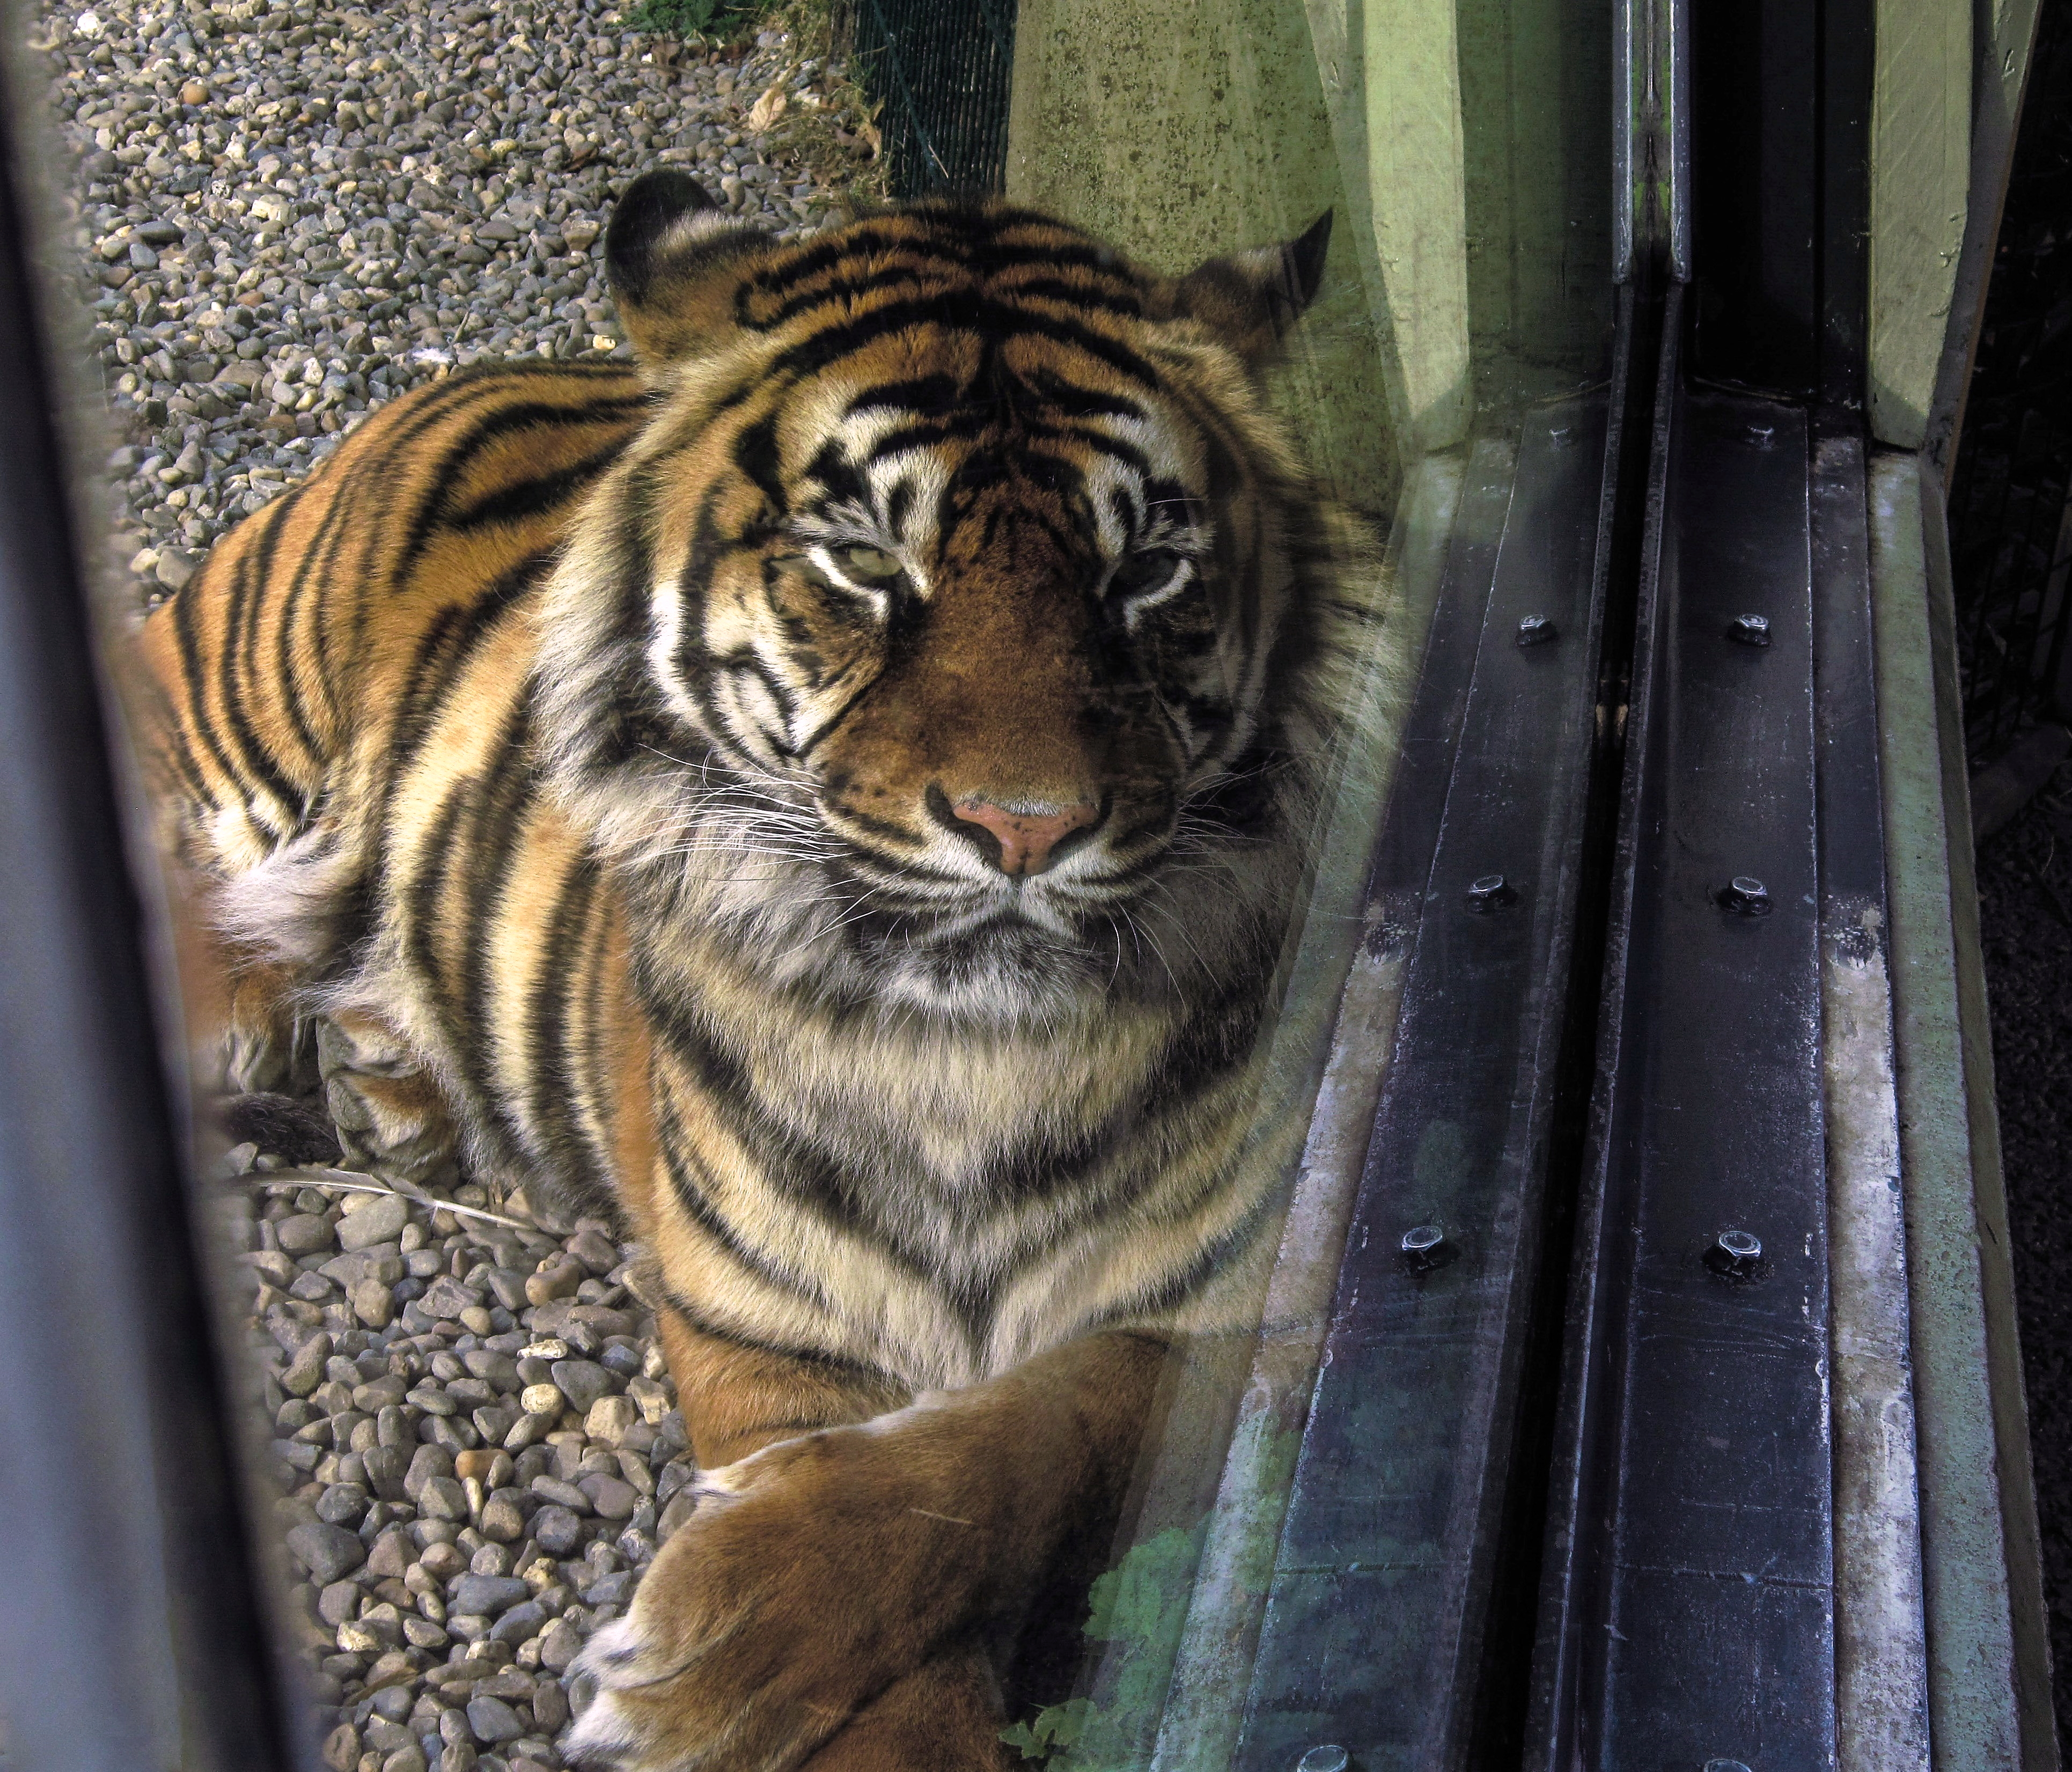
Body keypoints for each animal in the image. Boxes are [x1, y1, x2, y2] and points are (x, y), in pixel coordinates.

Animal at [137, 177, 1400, 1772]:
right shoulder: (763, 1322)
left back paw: (384, 1079)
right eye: (862, 562)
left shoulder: (1266, 1302)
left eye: (1144, 571)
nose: (1025, 827)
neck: (971, 1059)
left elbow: (1038, 1428)